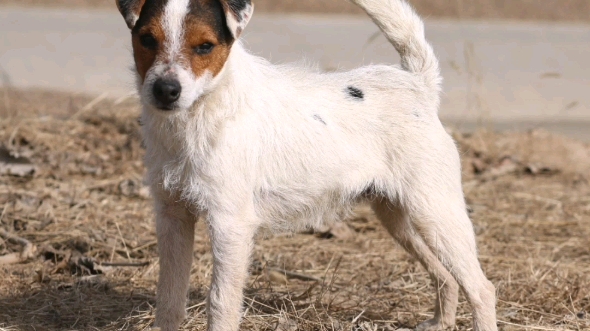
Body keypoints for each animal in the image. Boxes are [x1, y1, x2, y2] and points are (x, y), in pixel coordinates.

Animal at [115, 0, 500, 330]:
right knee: (445, 275)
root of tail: (417, 84)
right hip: (399, 217)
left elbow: (220, 303)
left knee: (481, 289)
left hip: (436, 214)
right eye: (147, 39)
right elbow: (169, 299)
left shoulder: (229, 225)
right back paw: (441, 322)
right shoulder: (172, 218)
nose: (166, 90)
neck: (203, 111)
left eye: (205, 46)